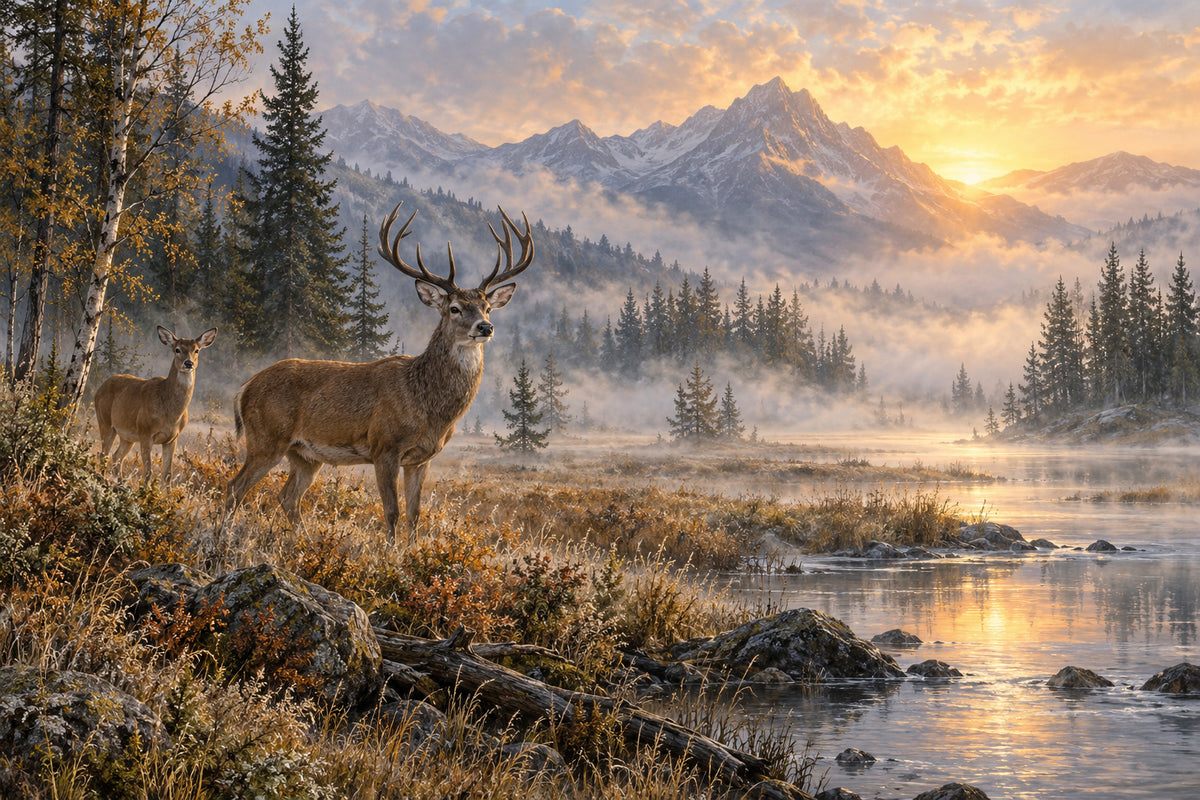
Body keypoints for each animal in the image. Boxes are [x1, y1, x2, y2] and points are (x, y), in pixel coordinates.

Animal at [94, 325, 218, 482]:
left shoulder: (172, 438)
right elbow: (148, 473)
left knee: (116, 457)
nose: (188, 363)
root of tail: (99, 388)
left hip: (127, 436)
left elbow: (167, 474)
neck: (170, 412)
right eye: (177, 349)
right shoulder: (145, 432)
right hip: (105, 421)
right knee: (103, 454)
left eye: (196, 350)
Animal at [224, 201, 534, 539]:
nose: (485, 327)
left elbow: (414, 513)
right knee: (235, 487)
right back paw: (223, 534)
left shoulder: (421, 458)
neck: (427, 404)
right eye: (454, 309)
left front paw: (411, 550)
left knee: (287, 497)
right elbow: (392, 511)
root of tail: (244, 387)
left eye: (487, 308)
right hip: (266, 437)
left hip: (304, 454)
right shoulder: (384, 446)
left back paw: (301, 539)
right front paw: (390, 550)